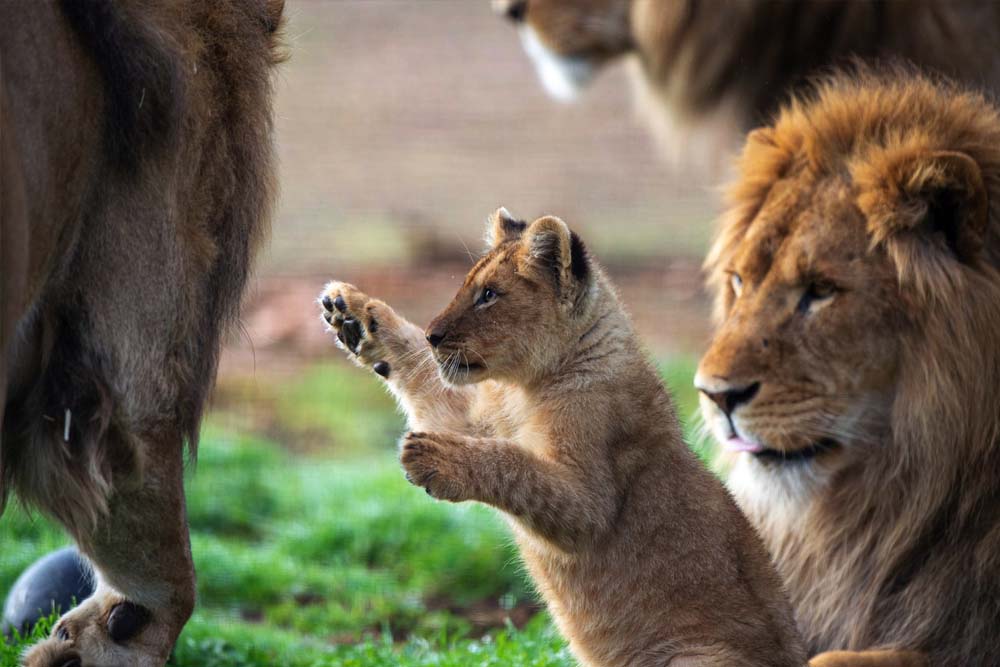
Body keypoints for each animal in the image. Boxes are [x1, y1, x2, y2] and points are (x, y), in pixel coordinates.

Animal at [318, 209, 806, 667]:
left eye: (489, 295)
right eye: (468, 286)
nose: (434, 335)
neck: (525, 387)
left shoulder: (591, 498)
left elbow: (515, 465)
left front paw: (430, 456)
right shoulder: (475, 419)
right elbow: (425, 378)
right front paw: (352, 313)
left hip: (699, 656)